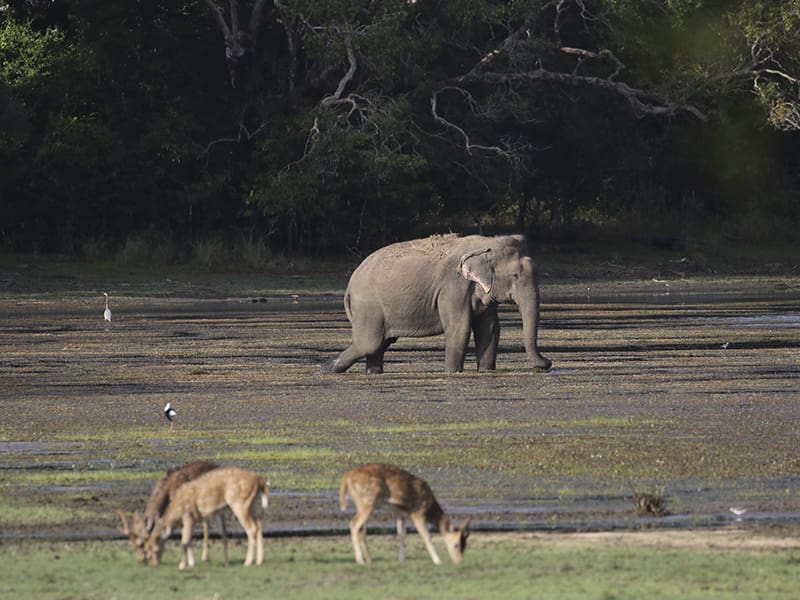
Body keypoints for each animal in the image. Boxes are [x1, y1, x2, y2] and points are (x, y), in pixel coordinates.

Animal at [325, 233, 551, 373]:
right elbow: (459, 329)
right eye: (515, 276)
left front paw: (486, 371)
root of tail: (349, 285)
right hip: (369, 308)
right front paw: (453, 372)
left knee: (380, 344)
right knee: (369, 343)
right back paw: (326, 368)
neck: (487, 243)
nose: (547, 363)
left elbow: (490, 329)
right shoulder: (453, 288)